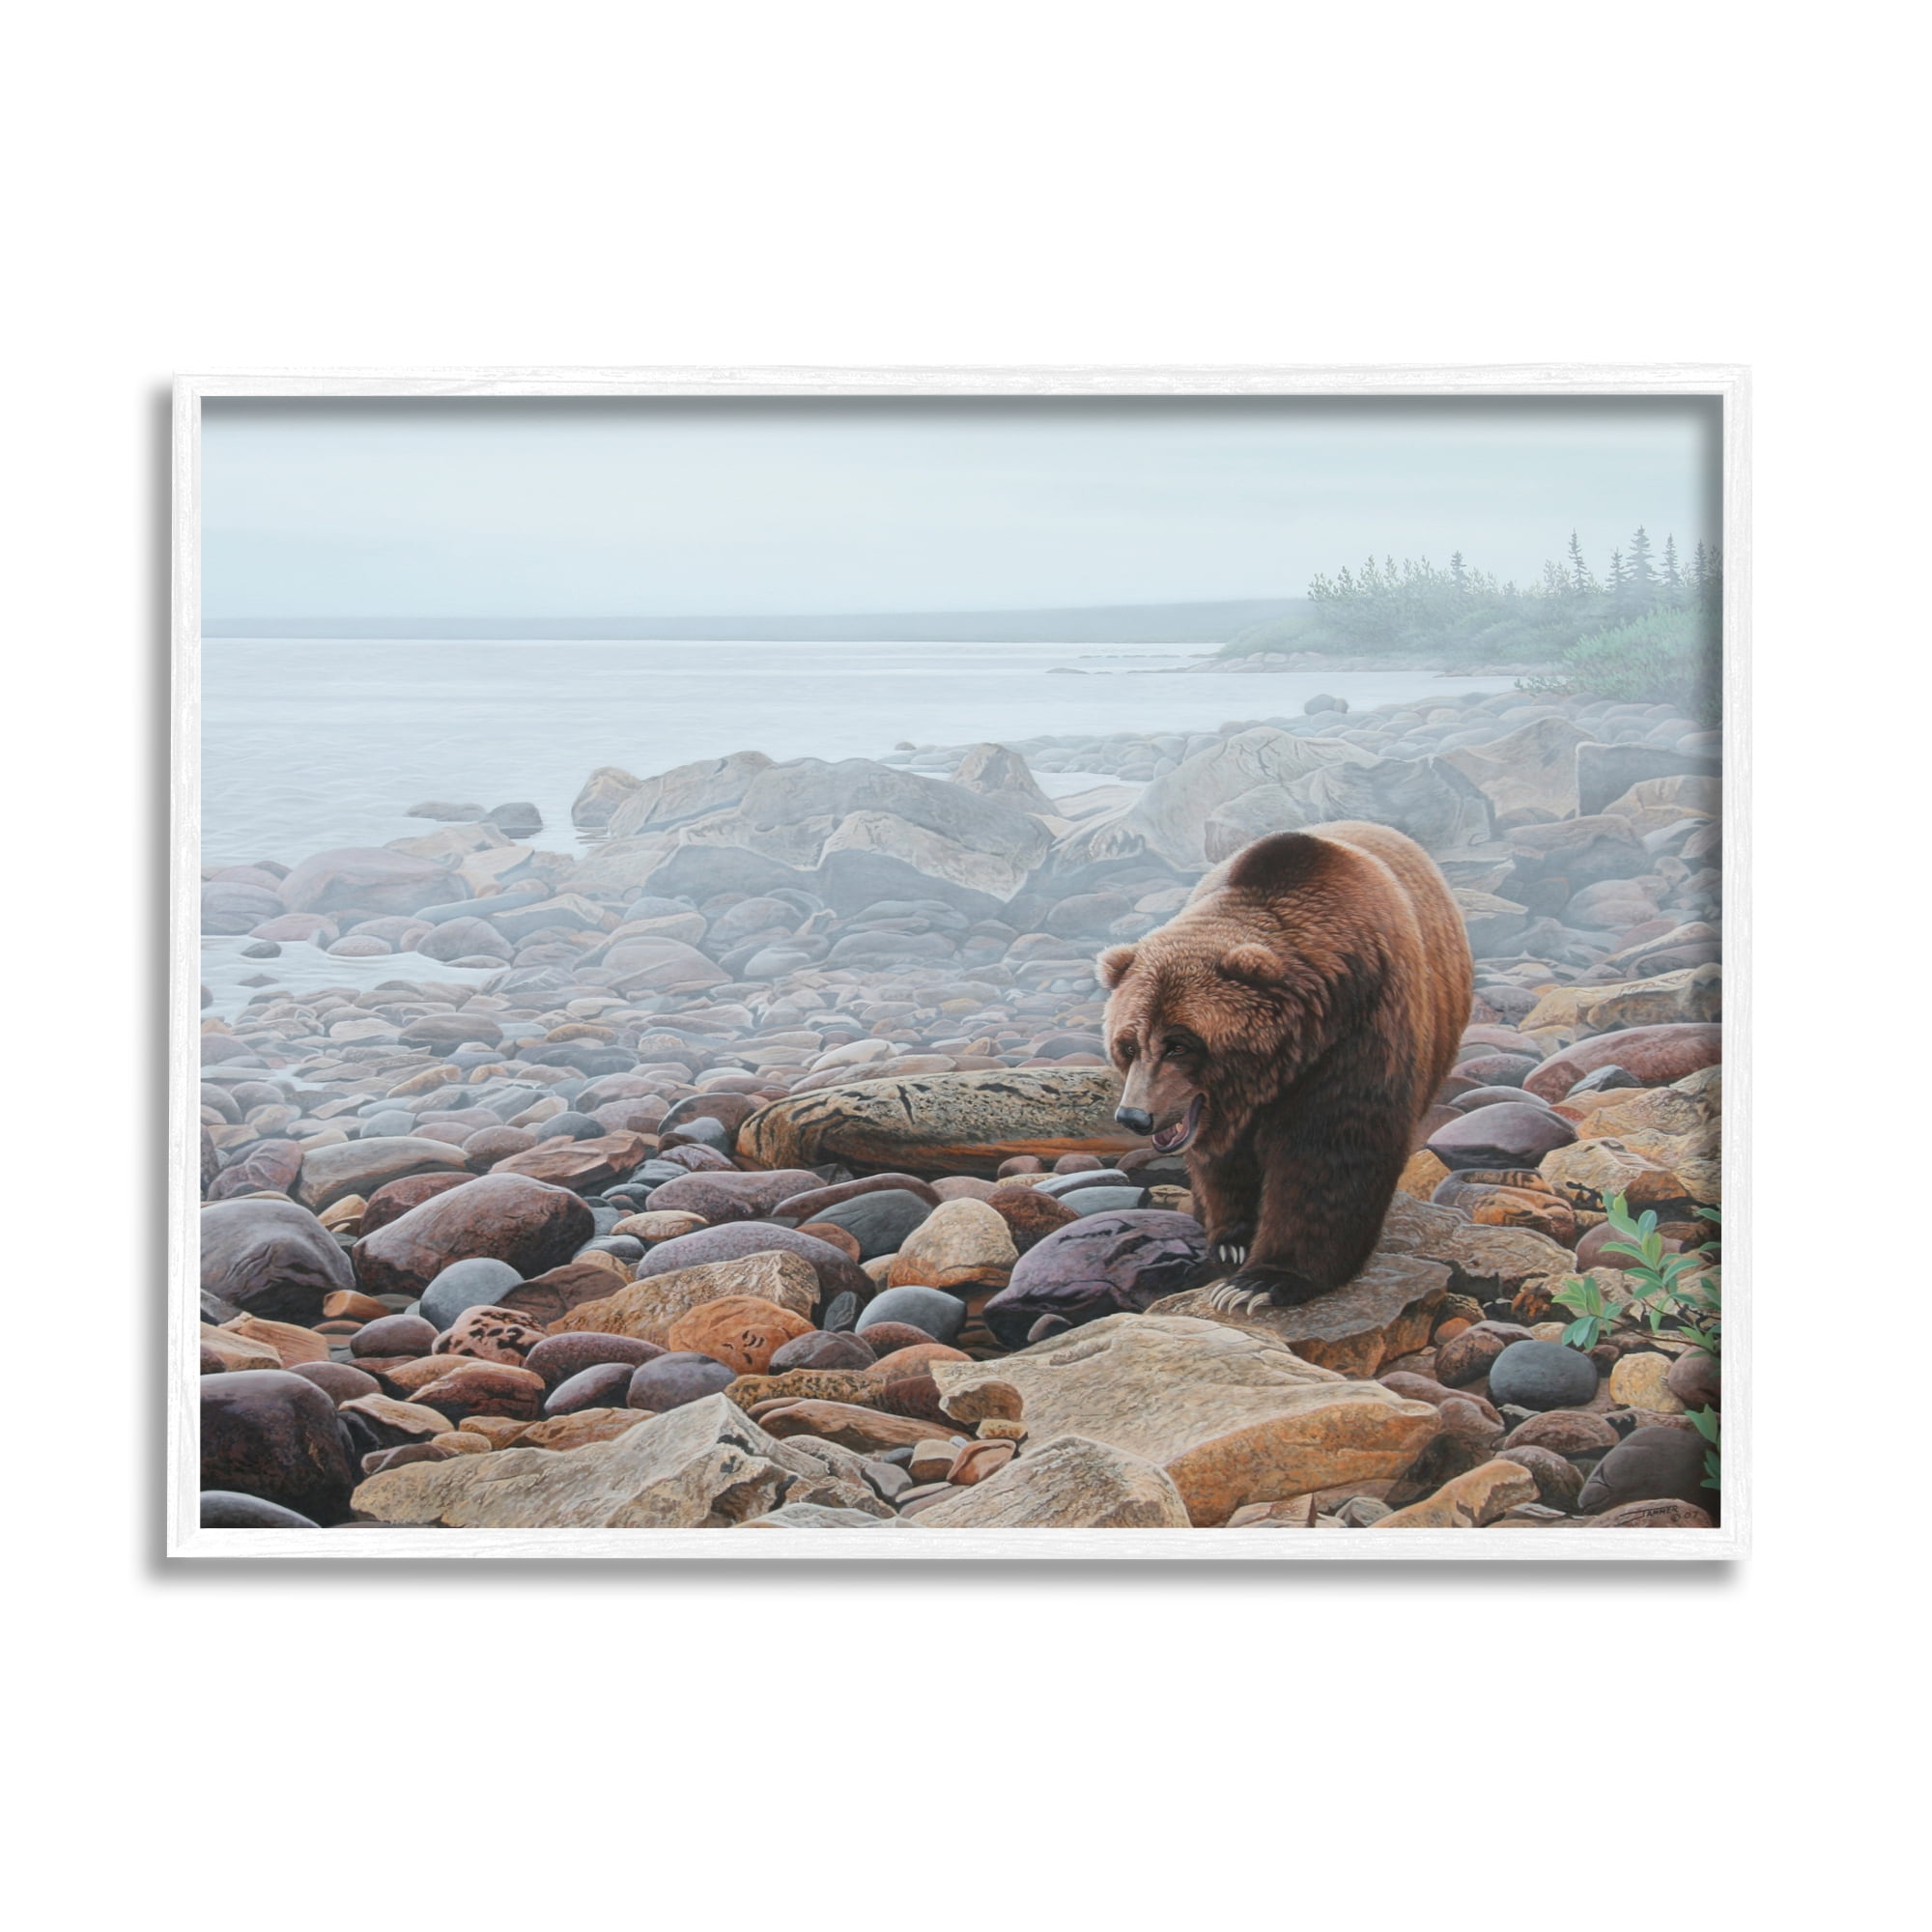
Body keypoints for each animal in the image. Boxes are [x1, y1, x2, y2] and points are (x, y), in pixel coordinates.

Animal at [1097, 821, 1473, 1312]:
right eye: (1128, 1044)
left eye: (1179, 1044)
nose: (1134, 1116)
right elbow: (1223, 1162)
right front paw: (1233, 1241)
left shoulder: (1362, 1029)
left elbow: (1331, 1151)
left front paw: (1262, 1281)